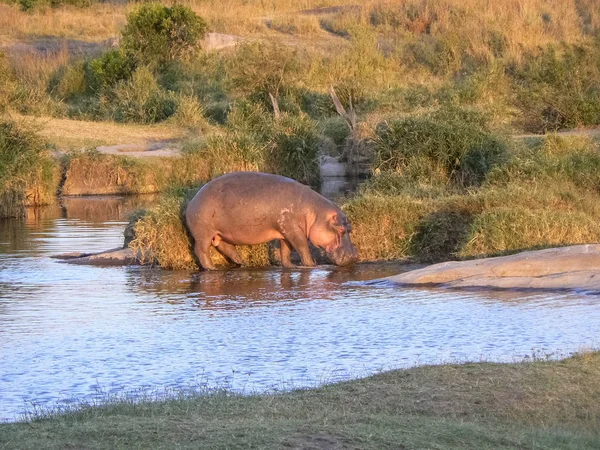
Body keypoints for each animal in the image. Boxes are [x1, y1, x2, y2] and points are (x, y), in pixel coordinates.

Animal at [185, 172, 358, 270]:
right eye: (341, 230)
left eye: (350, 228)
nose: (354, 256)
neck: (314, 213)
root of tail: (192, 201)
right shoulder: (293, 230)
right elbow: (302, 246)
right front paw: (311, 265)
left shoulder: (284, 232)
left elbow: (286, 250)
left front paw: (290, 266)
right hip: (203, 234)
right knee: (201, 251)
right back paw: (211, 269)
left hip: (222, 233)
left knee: (226, 247)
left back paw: (241, 263)